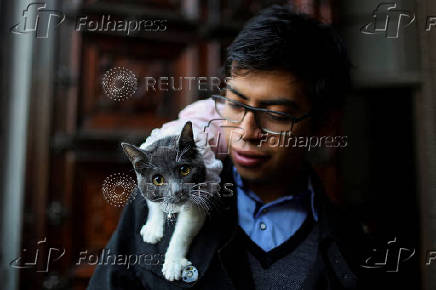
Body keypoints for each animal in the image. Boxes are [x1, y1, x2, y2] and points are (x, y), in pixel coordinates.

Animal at [121, 122, 211, 280]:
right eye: (158, 179)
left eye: (184, 170)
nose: (178, 191)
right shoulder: (144, 185)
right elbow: (154, 203)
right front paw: (152, 229)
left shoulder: (199, 198)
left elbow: (183, 230)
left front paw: (173, 264)